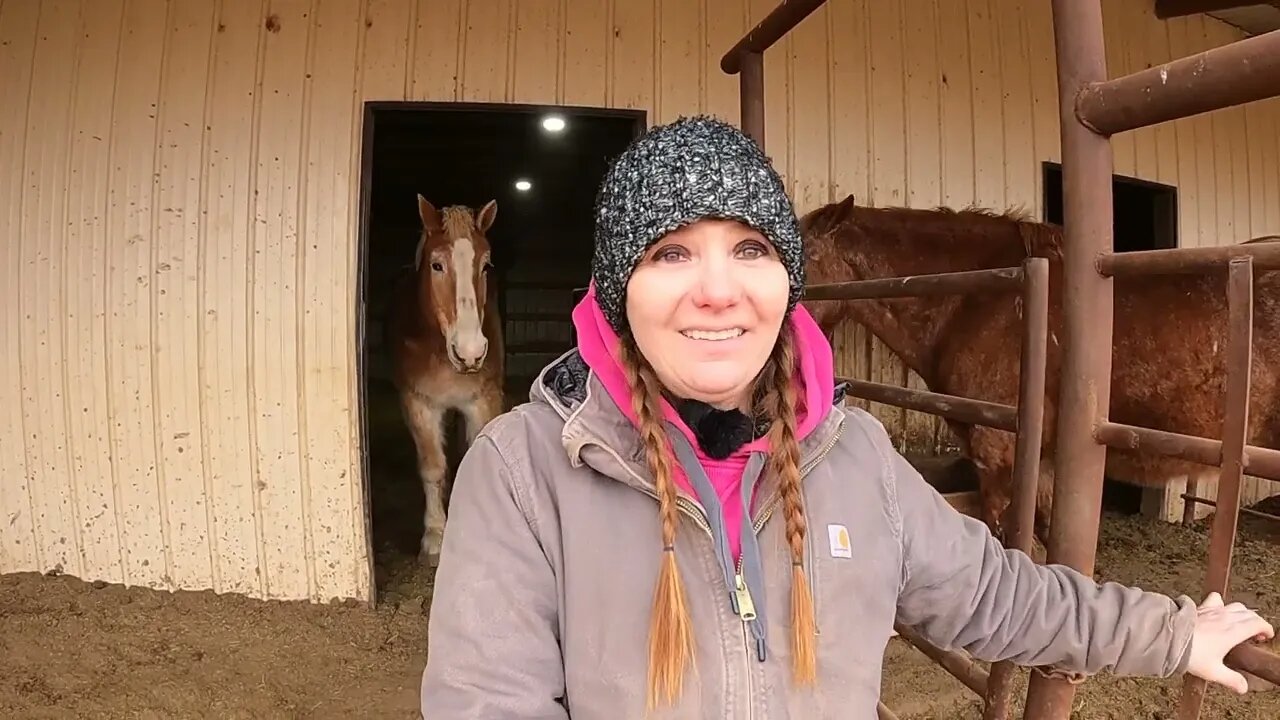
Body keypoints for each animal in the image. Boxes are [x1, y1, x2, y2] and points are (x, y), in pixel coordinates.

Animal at [386, 193, 506, 563]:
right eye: (436, 265)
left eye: (485, 266)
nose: (471, 352)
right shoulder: (418, 404)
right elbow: (432, 466)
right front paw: (435, 534)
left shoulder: (483, 400)